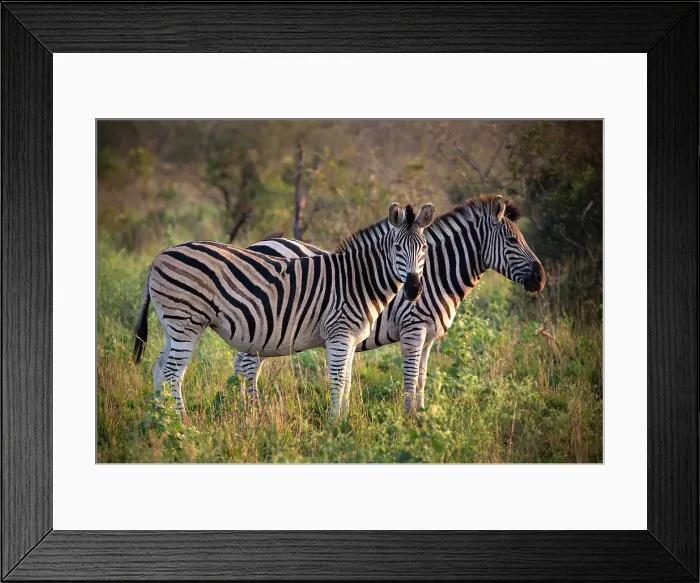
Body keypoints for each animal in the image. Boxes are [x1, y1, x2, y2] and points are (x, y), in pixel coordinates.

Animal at [131, 202, 435, 420]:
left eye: (424, 248)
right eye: (397, 247)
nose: (414, 290)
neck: (358, 280)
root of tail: (159, 256)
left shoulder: (349, 339)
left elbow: (348, 381)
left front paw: (345, 419)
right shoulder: (339, 335)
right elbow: (339, 380)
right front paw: (335, 424)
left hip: (172, 325)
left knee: (159, 368)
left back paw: (161, 419)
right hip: (187, 322)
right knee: (173, 373)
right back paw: (182, 422)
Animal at [234, 194, 545, 413]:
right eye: (511, 241)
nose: (541, 279)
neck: (434, 274)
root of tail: (255, 245)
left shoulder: (428, 337)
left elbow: (421, 378)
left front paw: (421, 416)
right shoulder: (412, 329)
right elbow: (409, 376)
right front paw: (409, 419)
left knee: (242, 366)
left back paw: (239, 410)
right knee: (248, 367)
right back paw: (253, 412)